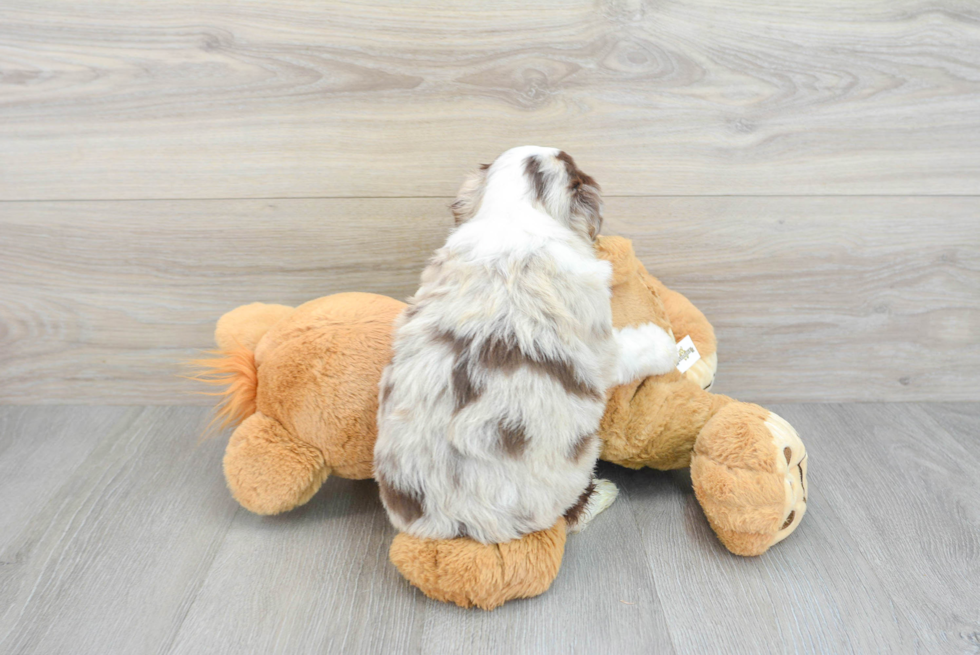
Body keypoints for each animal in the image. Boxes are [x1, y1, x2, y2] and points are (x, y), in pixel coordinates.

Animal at [376, 146, 680, 544]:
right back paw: (603, 493)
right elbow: (635, 350)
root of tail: (453, 524)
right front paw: (666, 345)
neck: (516, 216)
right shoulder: (601, 347)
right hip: (573, 469)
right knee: (571, 514)